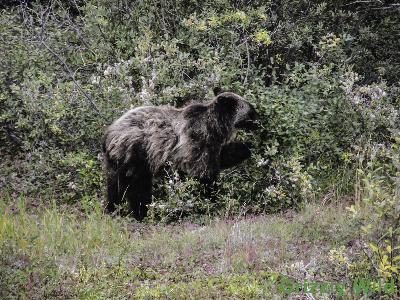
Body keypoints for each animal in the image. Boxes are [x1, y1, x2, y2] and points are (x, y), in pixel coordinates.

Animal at [102, 92, 256, 220]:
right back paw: (141, 213)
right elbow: (202, 174)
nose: (257, 119)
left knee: (115, 186)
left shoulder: (212, 145)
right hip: (136, 153)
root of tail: (108, 133)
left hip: (118, 161)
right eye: (251, 109)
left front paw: (245, 147)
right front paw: (208, 202)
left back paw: (113, 209)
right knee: (137, 187)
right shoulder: (196, 141)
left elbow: (223, 156)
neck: (215, 126)